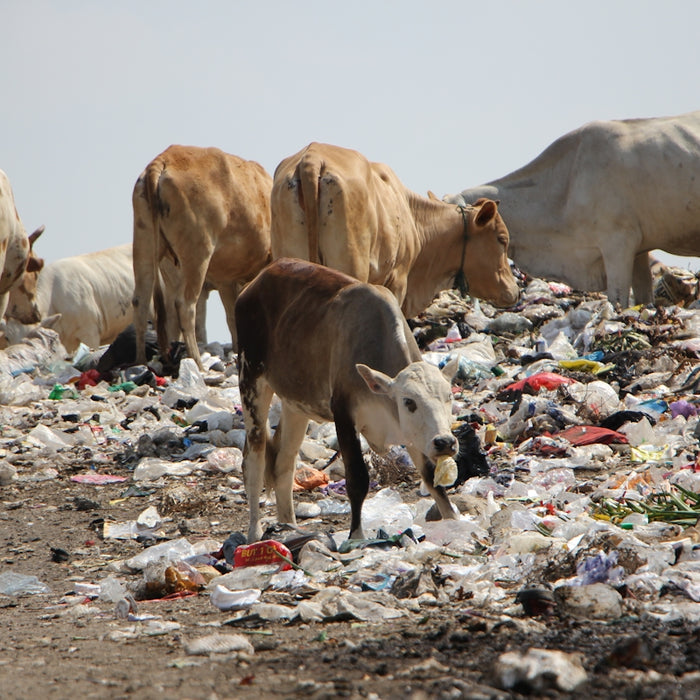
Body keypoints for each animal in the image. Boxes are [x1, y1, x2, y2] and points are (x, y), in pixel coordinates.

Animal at [132, 145, 272, 370]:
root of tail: (164, 159)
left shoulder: (226, 278)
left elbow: (232, 315)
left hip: (144, 243)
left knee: (141, 301)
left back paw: (141, 361)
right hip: (197, 254)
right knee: (184, 305)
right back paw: (197, 362)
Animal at [236, 257, 461, 543]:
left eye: (448, 397)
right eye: (409, 402)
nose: (445, 442)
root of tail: (258, 279)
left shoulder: (413, 435)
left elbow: (432, 479)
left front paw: (455, 523)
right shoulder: (343, 414)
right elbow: (357, 479)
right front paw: (356, 536)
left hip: (295, 404)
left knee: (282, 464)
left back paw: (290, 528)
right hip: (251, 381)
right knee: (254, 461)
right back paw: (255, 534)